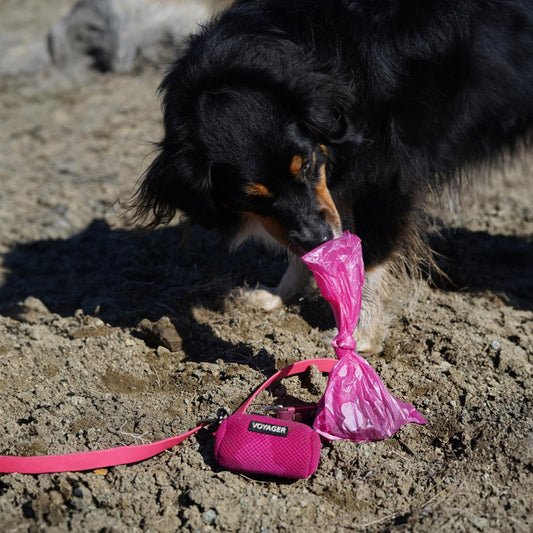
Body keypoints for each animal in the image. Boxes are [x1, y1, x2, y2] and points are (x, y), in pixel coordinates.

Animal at [130, 2, 532, 356]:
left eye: (307, 164)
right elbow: (309, 240)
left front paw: (360, 338)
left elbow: (370, 256)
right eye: (252, 197)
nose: (320, 238)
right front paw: (278, 294)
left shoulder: (386, 174)